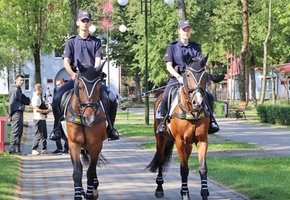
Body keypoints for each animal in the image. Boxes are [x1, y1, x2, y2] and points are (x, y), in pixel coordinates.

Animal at [63, 61, 107, 199]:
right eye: (81, 87)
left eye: (99, 87)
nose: (89, 118)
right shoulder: (74, 144)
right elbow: (77, 172)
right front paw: (79, 194)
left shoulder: (97, 144)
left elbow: (91, 172)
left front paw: (90, 193)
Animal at [147, 54, 211, 200]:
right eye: (187, 74)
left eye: (205, 75)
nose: (198, 102)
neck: (191, 111)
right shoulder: (179, 141)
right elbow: (184, 169)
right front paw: (185, 195)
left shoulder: (202, 140)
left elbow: (202, 168)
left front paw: (203, 193)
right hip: (160, 139)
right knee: (160, 159)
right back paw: (159, 188)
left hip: (188, 144)